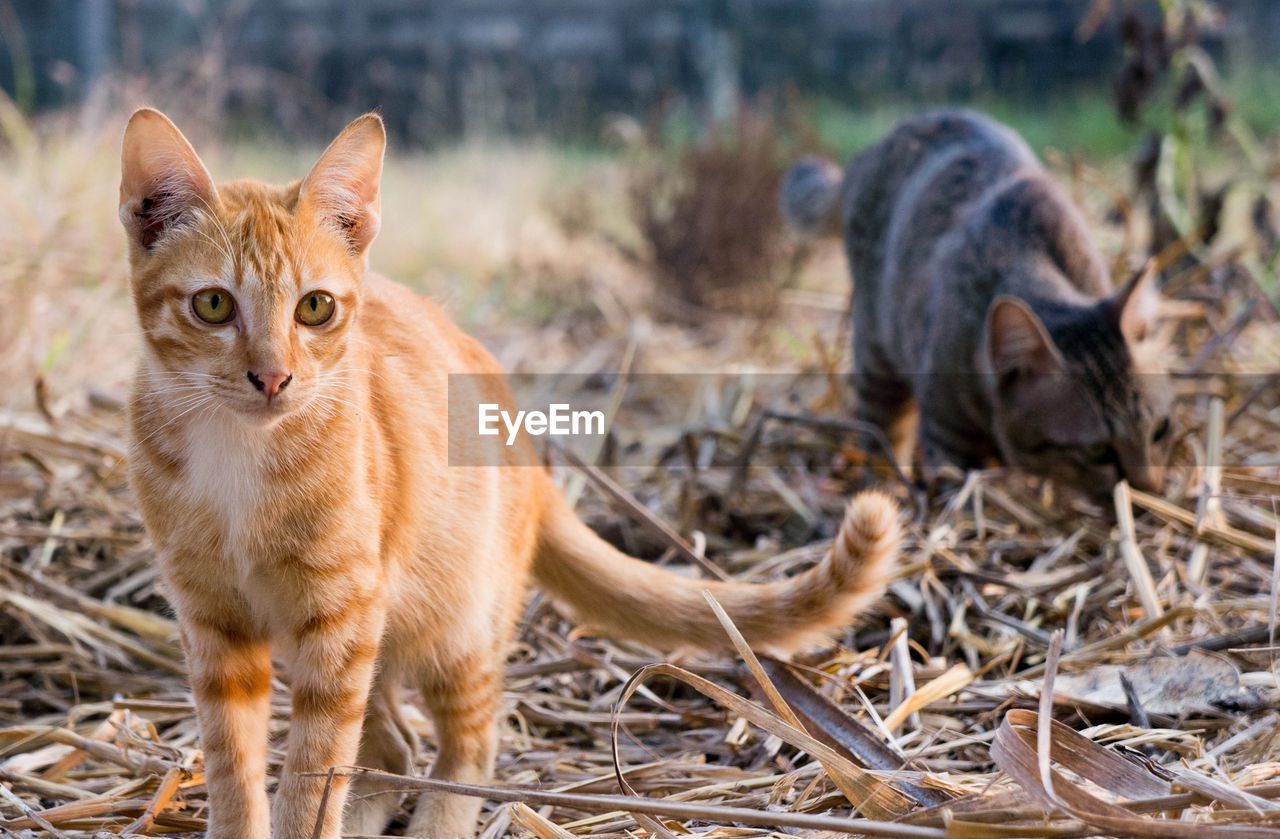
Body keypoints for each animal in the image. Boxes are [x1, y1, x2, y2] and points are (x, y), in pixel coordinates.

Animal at [120, 110, 901, 839]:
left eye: (315, 307)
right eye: (213, 304)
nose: (274, 377)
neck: (238, 459)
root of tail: (528, 447)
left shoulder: (339, 615)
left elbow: (314, 771)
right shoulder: (215, 623)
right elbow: (234, 764)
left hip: (452, 626)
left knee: (468, 740)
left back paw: (437, 820)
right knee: (393, 746)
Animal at [773, 108, 1172, 499]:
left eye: (1160, 430)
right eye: (1096, 450)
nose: (1149, 489)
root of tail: (873, 149)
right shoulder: (948, 438)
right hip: (877, 355)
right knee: (881, 430)